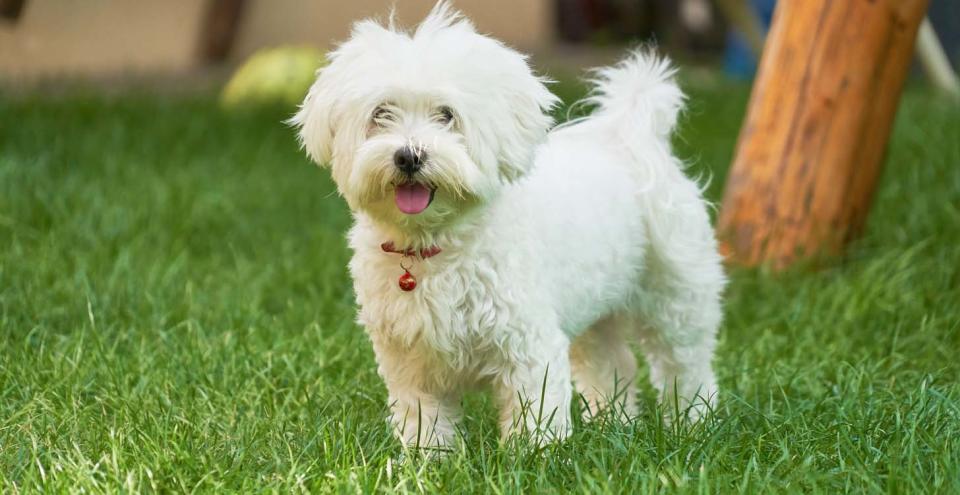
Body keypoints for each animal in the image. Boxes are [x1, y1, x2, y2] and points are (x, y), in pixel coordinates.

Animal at [288, 0, 724, 450]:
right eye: (380, 114)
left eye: (446, 115)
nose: (408, 156)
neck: (437, 244)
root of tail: (629, 134)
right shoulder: (410, 359)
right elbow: (424, 417)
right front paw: (429, 457)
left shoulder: (527, 344)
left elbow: (535, 410)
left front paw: (537, 455)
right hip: (596, 305)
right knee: (611, 363)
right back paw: (613, 423)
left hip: (676, 293)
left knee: (685, 364)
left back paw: (693, 423)